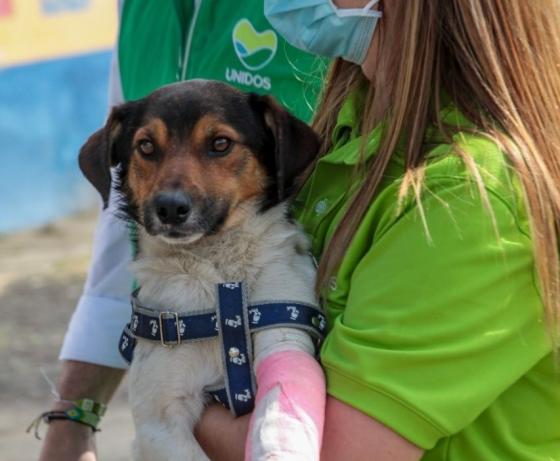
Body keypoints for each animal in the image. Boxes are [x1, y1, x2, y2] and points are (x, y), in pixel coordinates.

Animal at [81, 81, 328, 458]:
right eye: (146, 146)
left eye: (220, 143)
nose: (169, 207)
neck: (218, 278)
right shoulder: (159, 419)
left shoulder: (284, 333)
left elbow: (276, 415)